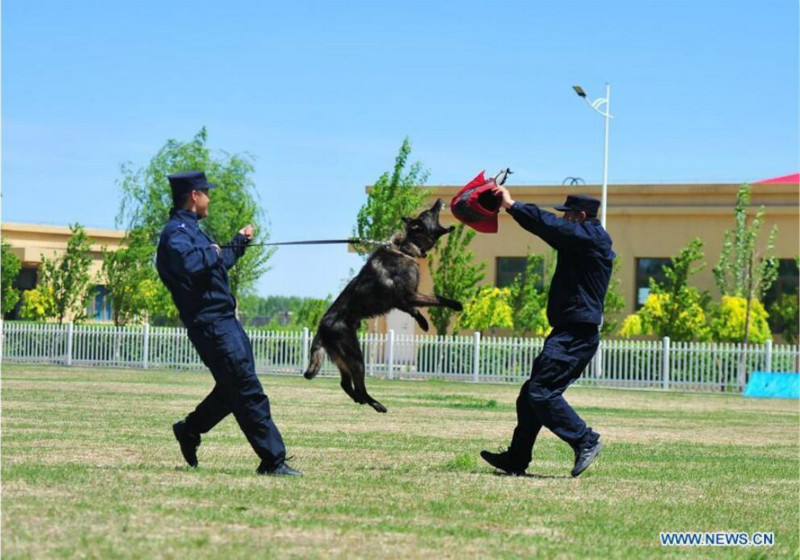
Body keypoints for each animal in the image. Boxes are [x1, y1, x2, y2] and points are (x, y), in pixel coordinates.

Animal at [302, 200, 462, 412]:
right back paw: (376, 404)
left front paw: (423, 323)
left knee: (345, 384)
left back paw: (362, 400)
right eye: (429, 212)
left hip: (344, 359)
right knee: (358, 387)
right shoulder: (411, 295)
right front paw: (455, 305)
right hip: (355, 357)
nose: (439, 201)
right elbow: (437, 298)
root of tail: (322, 328)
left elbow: (414, 310)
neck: (405, 248)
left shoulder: (403, 300)